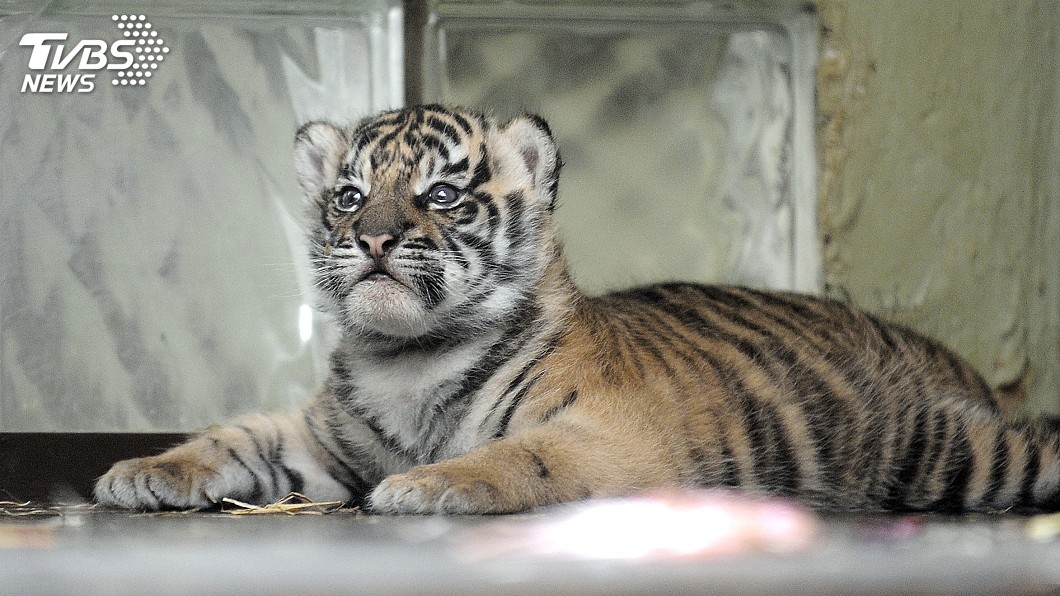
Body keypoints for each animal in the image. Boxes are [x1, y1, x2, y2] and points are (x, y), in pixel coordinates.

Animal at [95, 104, 1060, 514]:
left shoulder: (605, 434)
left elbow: (513, 458)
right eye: (348, 195)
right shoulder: (318, 438)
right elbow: (234, 438)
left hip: (956, 454)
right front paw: (140, 472)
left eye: (440, 195)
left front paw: (424, 486)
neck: (406, 358)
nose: (370, 237)